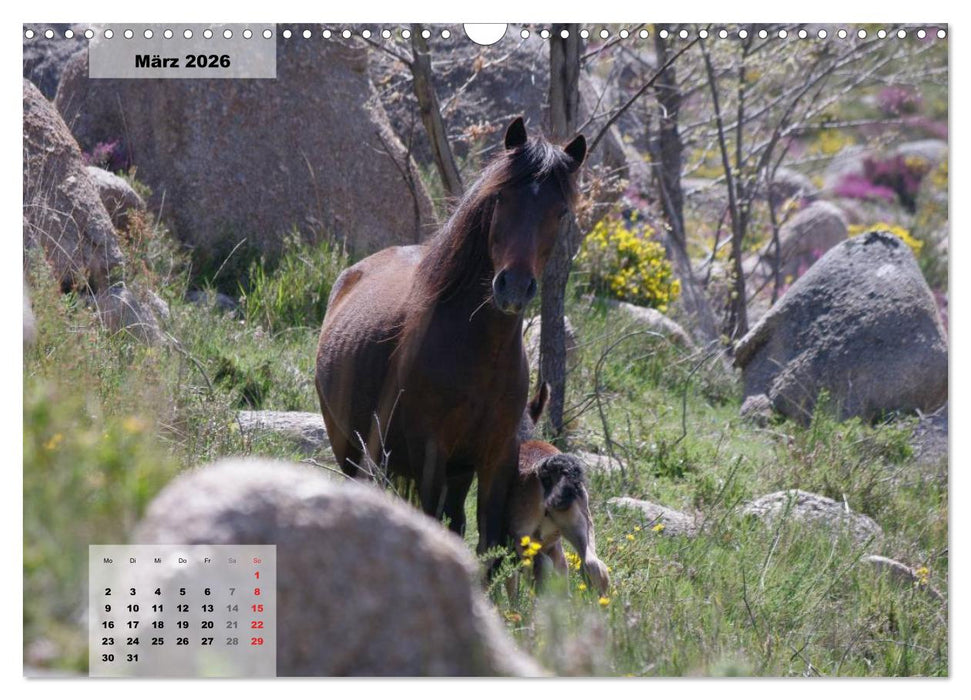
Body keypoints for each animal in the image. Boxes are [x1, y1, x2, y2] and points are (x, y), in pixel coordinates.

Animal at [315, 117, 586, 555]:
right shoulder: (431, 452)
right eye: (500, 197)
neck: (479, 353)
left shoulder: (496, 456)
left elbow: (485, 538)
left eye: (560, 212)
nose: (514, 286)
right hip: (350, 447)